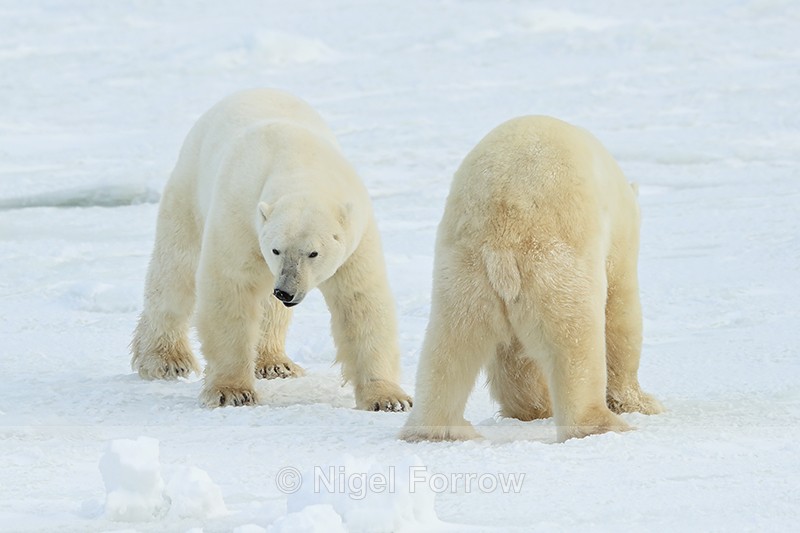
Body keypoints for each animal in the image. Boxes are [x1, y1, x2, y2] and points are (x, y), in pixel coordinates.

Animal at [130, 88, 412, 411]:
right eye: (276, 250)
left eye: (313, 253)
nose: (286, 291)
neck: (301, 165)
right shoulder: (240, 215)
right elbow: (232, 287)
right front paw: (232, 392)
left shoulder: (355, 236)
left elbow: (359, 301)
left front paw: (389, 399)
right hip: (189, 189)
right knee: (176, 273)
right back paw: (165, 360)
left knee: (267, 307)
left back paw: (275, 363)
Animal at [400, 115, 662, 443]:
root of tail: (502, 233)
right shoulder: (618, 242)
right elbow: (620, 315)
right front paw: (640, 402)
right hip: (555, 263)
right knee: (574, 339)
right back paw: (600, 425)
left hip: (464, 274)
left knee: (452, 344)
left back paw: (439, 430)